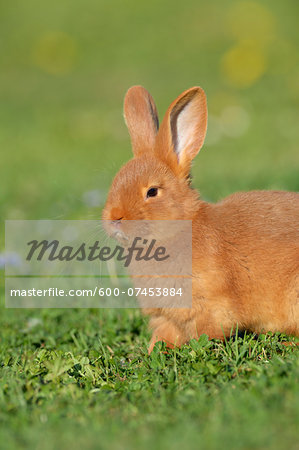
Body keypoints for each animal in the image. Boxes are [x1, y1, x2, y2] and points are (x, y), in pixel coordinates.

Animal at [103, 83, 299, 352]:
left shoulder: (211, 306)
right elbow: (164, 336)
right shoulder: (165, 317)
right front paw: (151, 352)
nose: (114, 218)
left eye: (152, 191)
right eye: (115, 182)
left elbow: (208, 333)